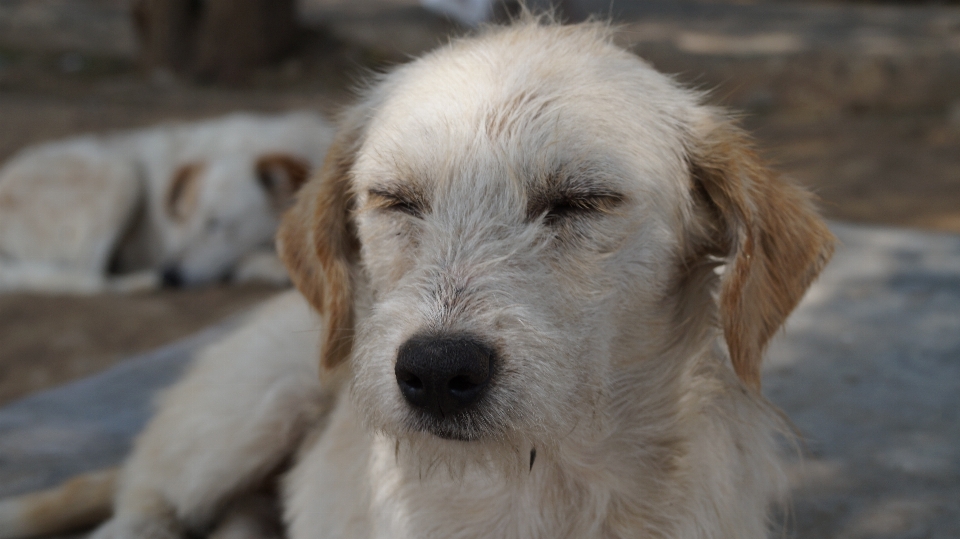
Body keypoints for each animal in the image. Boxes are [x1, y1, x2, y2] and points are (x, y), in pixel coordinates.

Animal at [0, 111, 334, 294]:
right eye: (180, 218)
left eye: (216, 224)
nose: (169, 275)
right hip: (121, 172)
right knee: (90, 275)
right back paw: (141, 281)